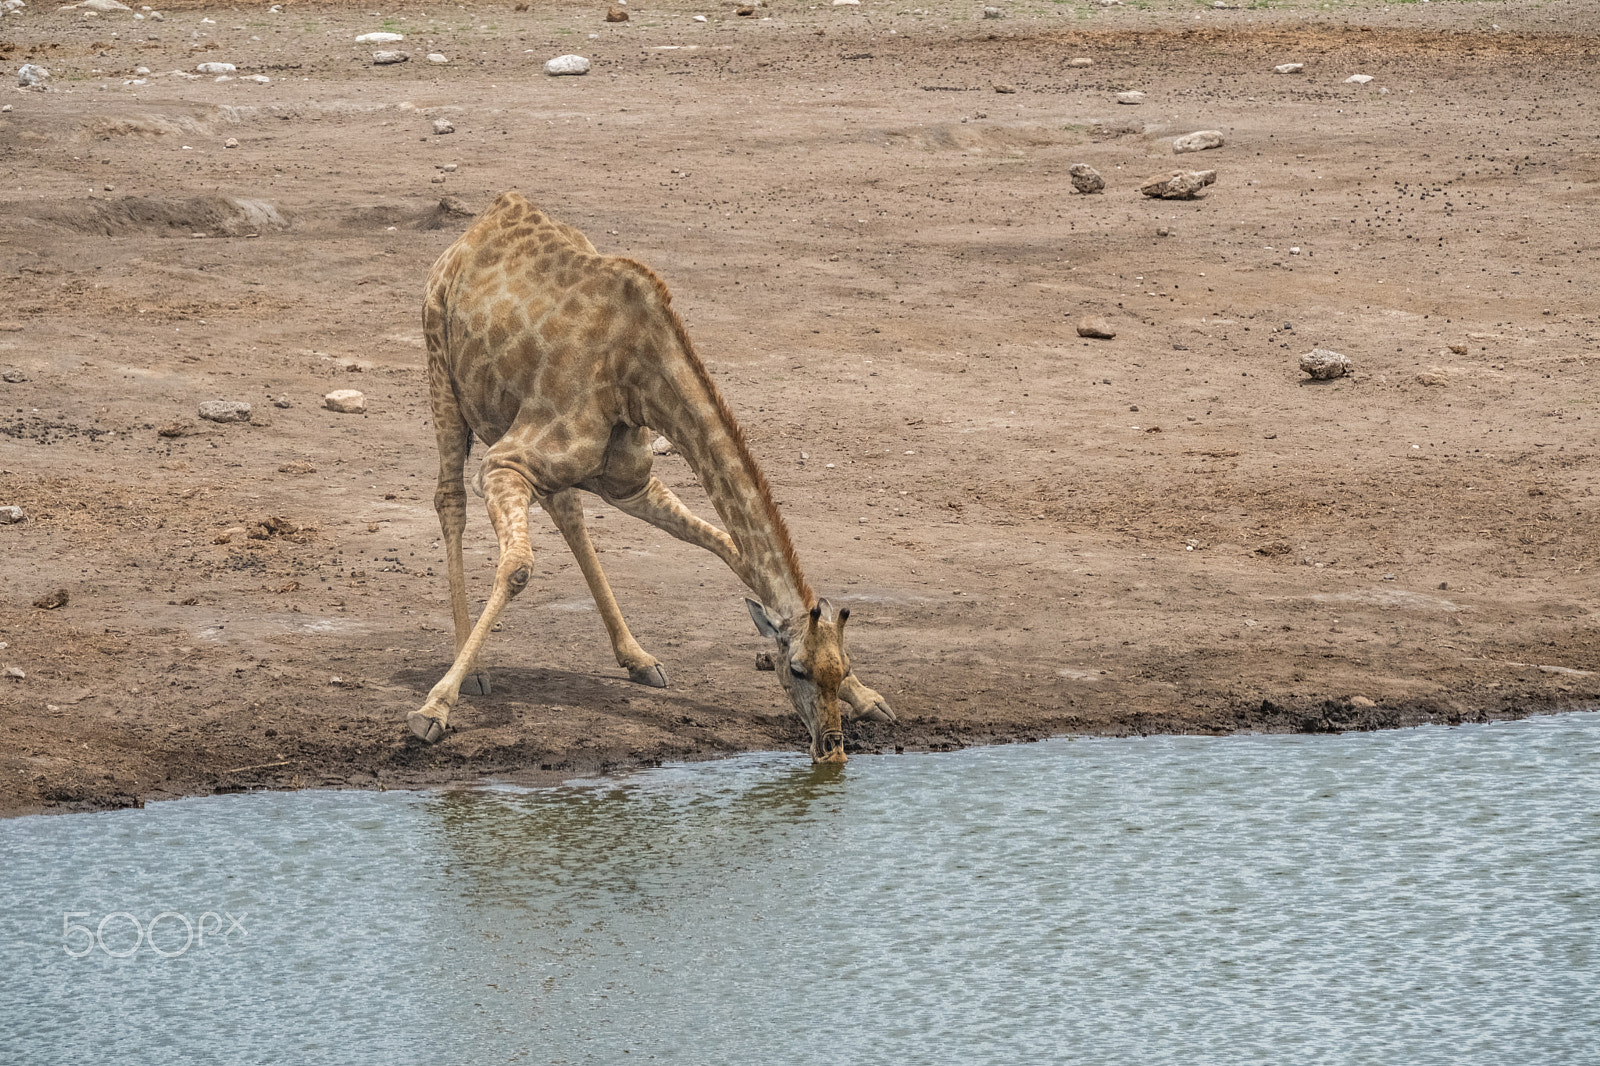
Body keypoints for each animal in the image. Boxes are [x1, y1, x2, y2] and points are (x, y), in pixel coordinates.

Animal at [406, 188, 896, 755]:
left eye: (842, 667)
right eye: (795, 669)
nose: (831, 745)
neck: (638, 374)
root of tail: (485, 219)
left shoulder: (631, 483)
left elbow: (730, 549)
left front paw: (871, 700)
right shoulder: (502, 463)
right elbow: (519, 567)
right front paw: (433, 710)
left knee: (566, 508)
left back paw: (637, 658)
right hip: (440, 368)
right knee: (450, 499)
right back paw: (473, 669)